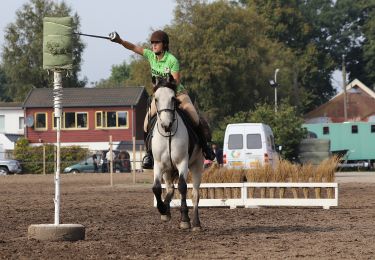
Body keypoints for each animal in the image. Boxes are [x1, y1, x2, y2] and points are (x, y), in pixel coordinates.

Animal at [151, 76, 204, 231]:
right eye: (156, 99)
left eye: (173, 98)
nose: (166, 125)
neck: (168, 135)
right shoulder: (158, 164)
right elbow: (156, 188)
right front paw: (162, 209)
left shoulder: (182, 163)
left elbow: (182, 186)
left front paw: (185, 220)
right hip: (168, 170)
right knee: (169, 188)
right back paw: (166, 211)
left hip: (197, 165)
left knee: (195, 194)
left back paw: (196, 223)